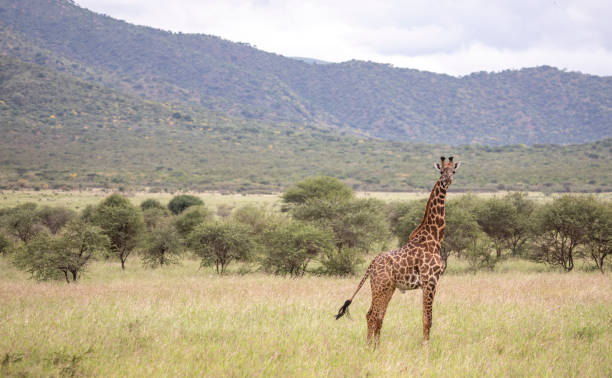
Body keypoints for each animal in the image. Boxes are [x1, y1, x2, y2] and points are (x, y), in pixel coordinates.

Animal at [338, 156, 462, 346]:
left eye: (453, 171)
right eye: (441, 171)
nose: (447, 180)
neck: (434, 238)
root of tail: (371, 264)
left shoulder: (431, 282)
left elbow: (426, 317)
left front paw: (425, 344)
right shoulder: (430, 280)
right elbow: (427, 318)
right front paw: (426, 346)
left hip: (388, 288)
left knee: (377, 315)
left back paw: (376, 346)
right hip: (380, 286)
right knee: (372, 314)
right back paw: (369, 346)